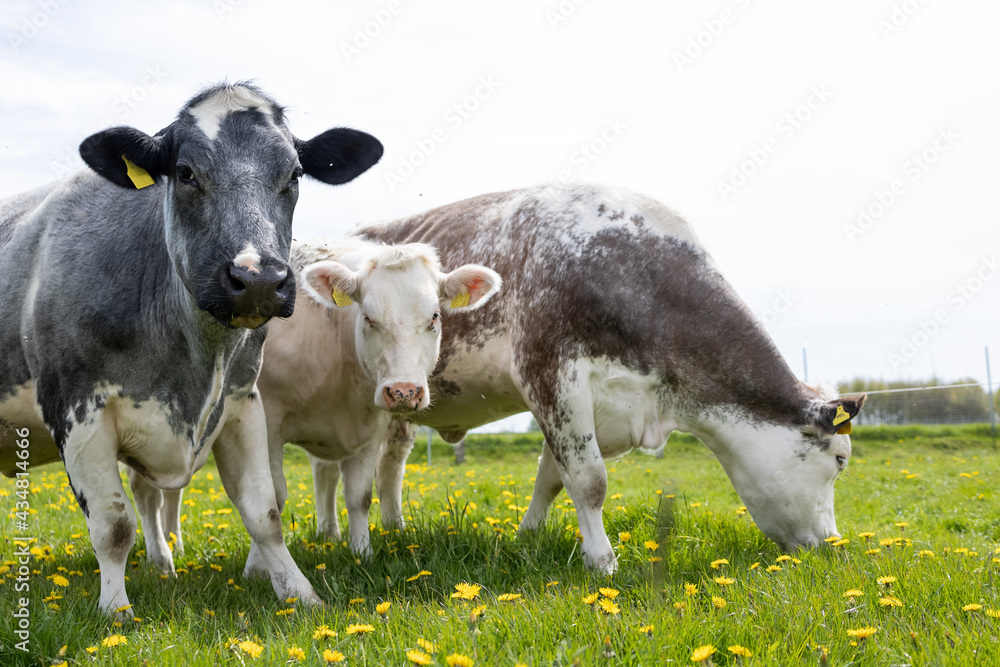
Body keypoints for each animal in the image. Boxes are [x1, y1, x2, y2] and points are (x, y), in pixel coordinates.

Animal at [0, 82, 383, 615]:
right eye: (184, 173)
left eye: (294, 174)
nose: (258, 279)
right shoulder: (76, 409)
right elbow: (112, 524)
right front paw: (116, 610)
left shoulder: (243, 401)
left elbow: (264, 511)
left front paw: (300, 593)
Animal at [333, 184, 865, 574]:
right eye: (840, 460)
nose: (834, 544)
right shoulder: (551, 375)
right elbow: (588, 481)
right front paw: (603, 561)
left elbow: (551, 478)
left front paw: (528, 535)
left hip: (401, 404)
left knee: (391, 465)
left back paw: (395, 530)